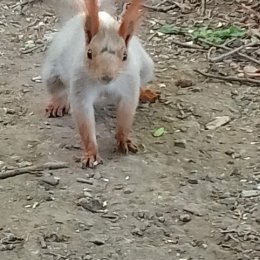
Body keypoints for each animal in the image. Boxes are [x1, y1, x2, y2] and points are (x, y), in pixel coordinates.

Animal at [41, 0, 153, 169]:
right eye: (89, 53)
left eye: (125, 55)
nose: (106, 77)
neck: (106, 86)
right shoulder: (80, 84)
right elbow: (84, 119)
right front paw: (91, 153)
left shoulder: (130, 83)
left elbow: (126, 115)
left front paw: (124, 140)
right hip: (52, 71)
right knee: (58, 89)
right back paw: (58, 103)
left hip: (146, 67)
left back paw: (145, 92)